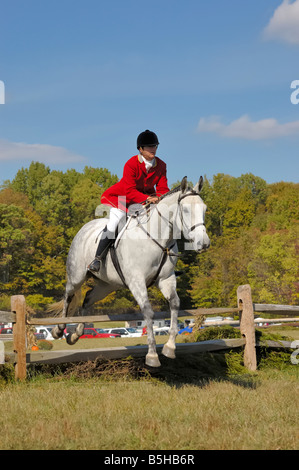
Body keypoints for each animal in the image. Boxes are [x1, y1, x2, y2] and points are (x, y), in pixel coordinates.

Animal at [51, 176, 211, 368]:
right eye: (185, 210)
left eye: (204, 209)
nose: (204, 244)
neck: (159, 240)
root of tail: (85, 228)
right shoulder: (136, 281)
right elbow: (148, 311)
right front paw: (152, 355)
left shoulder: (166, 279)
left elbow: (174, 304)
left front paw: (170, 347)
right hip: (76, 276)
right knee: (68, 295)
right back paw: (59, 329)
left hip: (107, 285)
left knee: (88, 299)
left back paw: (76, 334)